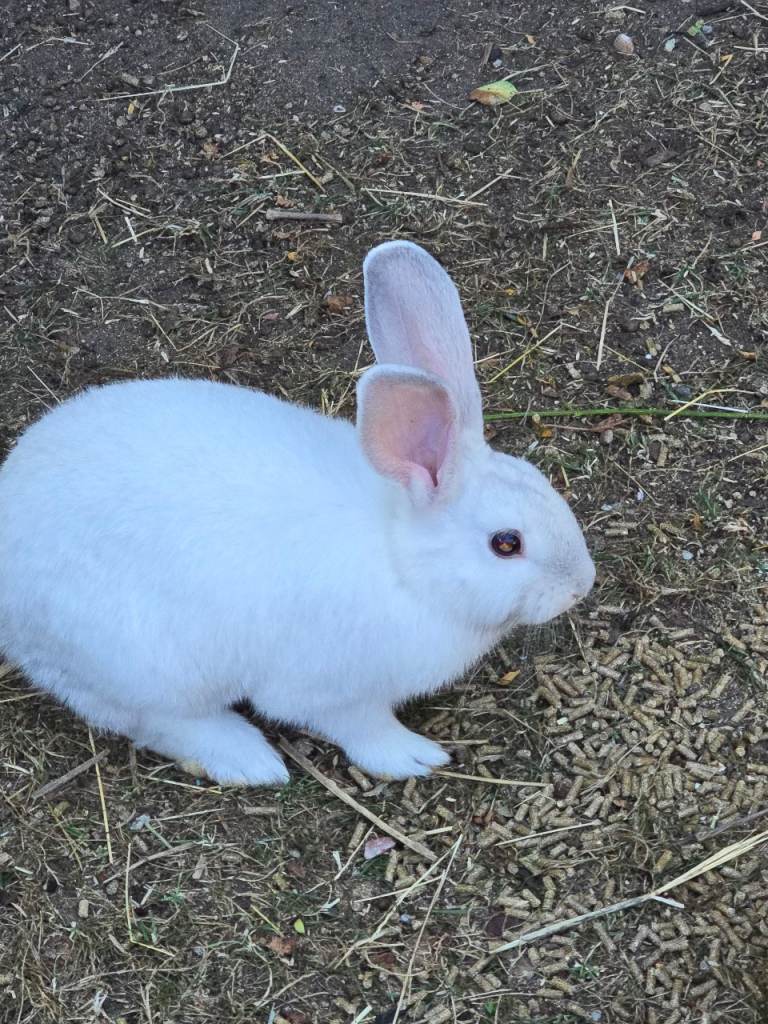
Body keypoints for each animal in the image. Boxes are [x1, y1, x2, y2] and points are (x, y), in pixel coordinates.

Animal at [0, 241, 595, 786]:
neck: (403, 565)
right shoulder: (332, 691)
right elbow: (360, 727)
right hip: (147, 664)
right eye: (506, 543)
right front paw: (413, 757)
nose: (581, 586)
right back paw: (250, 760)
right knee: (156, 720)